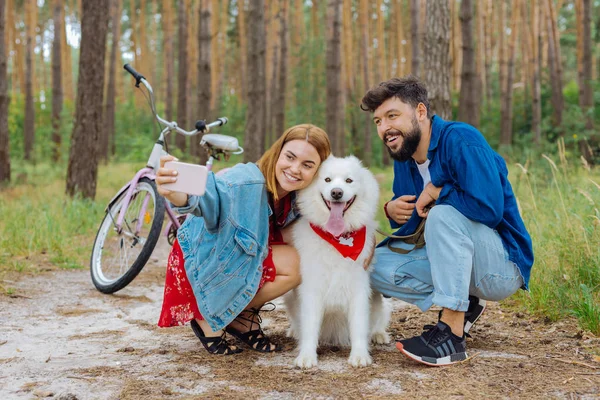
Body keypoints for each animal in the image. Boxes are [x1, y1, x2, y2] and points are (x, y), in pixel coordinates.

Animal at [284, 155, 392, 368]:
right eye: (327, 180)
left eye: (349, 180)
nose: (336, 193)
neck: (337, 237)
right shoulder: (312, 289)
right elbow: (309, 327)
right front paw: (306, 356)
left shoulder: (359, 288)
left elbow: (359, 326)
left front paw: (359, 356)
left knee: (379, 318)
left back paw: (379, 335)